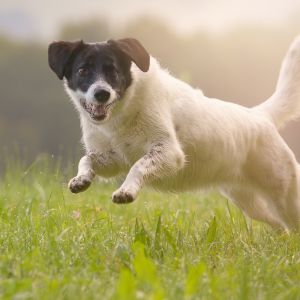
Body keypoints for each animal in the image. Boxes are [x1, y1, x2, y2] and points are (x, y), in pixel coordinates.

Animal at [48, 35, 300, 232]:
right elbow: (87, 159)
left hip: (285, 194)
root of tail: (261, 116)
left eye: (113, 71)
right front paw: (80, 179)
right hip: (248, 202)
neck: (122, 114)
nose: (101, 93)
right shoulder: (113, 160)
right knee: (281, 227)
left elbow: (138, 165)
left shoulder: (170, 153)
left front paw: (126, 191)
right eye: (82, 70)